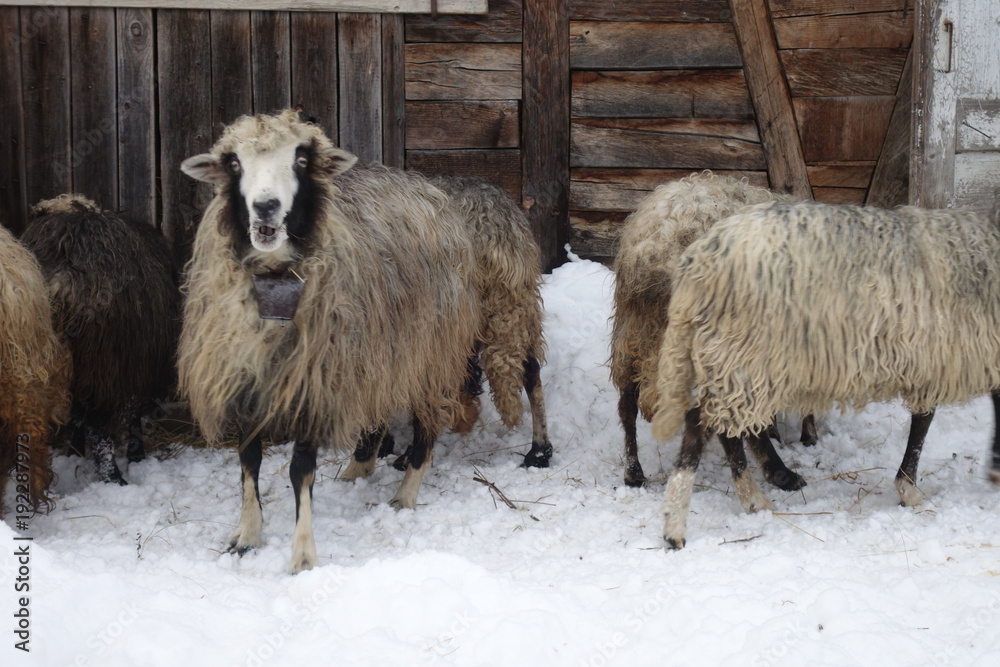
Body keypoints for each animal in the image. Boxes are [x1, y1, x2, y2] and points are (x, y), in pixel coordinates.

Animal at [20, 195, 180, 486]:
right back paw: (114, 477)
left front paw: (75, 450)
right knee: (98, 425)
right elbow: (132, 414)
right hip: (102, 360)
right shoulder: (133, 364)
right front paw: (136, 455)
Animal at [178, 110, 482, 573]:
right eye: (233, 164)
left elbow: (300, 471)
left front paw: (303, 556)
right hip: (375, 352)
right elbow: (248, 459)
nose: (265, 207)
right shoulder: (247, 376)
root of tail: (424, 185)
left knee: (428, 422)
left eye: (302, 160)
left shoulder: (315, 383)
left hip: (430, 349)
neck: (277, 279)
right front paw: (247, 536)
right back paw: (357, 470)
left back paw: (406, 493)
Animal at [651, 195, 1000, 548]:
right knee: (704, 423)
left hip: (740, 358)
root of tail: (702, 254)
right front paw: (910, 488)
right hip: (744, 350)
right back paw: (678, 525)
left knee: (727, 426)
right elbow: (924, 423)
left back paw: (759, 493)